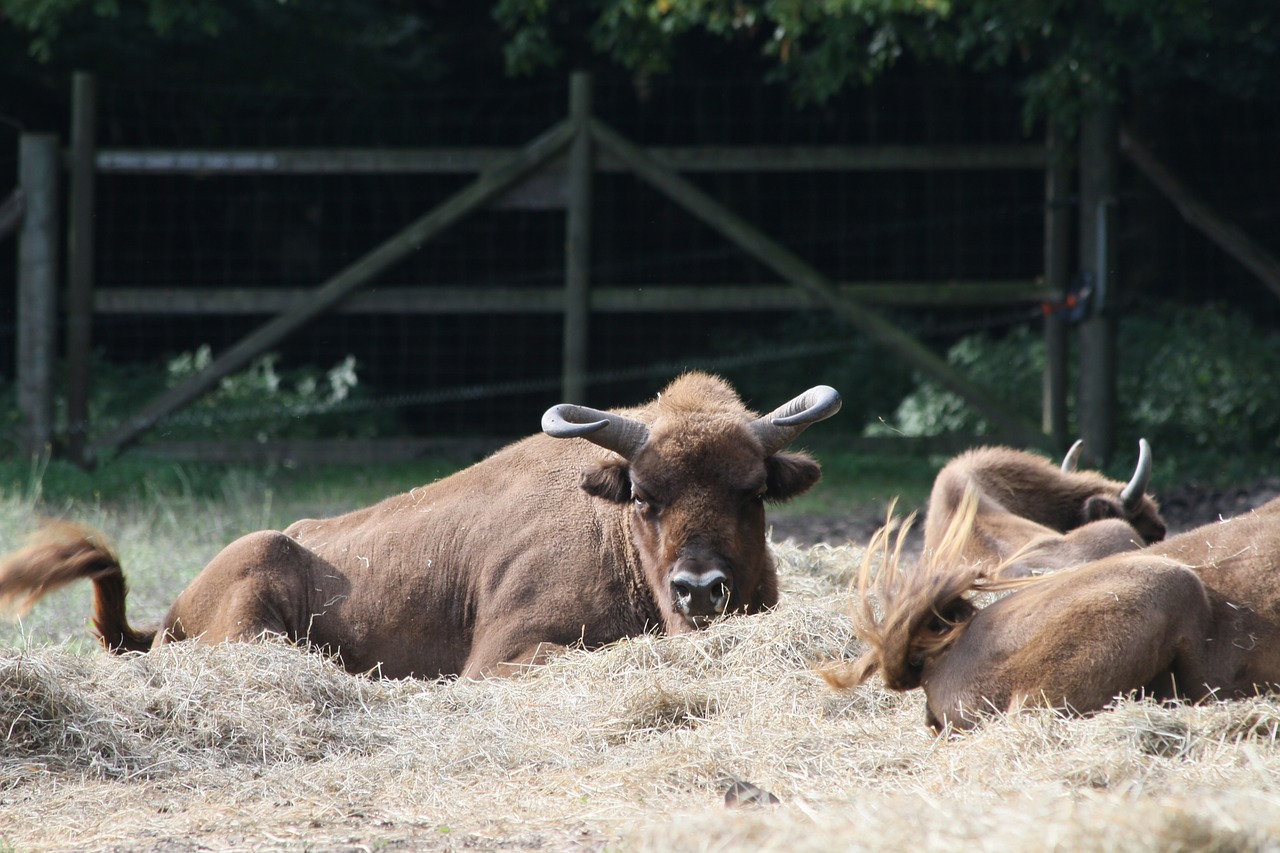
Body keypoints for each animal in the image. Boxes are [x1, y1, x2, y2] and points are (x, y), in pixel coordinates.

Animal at [0, 371, 839, 676]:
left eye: (753, 491)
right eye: (643, 495)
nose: (700, 587)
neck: (610, 538)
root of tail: (168, 613)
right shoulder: (504, 652)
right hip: (253, 581)